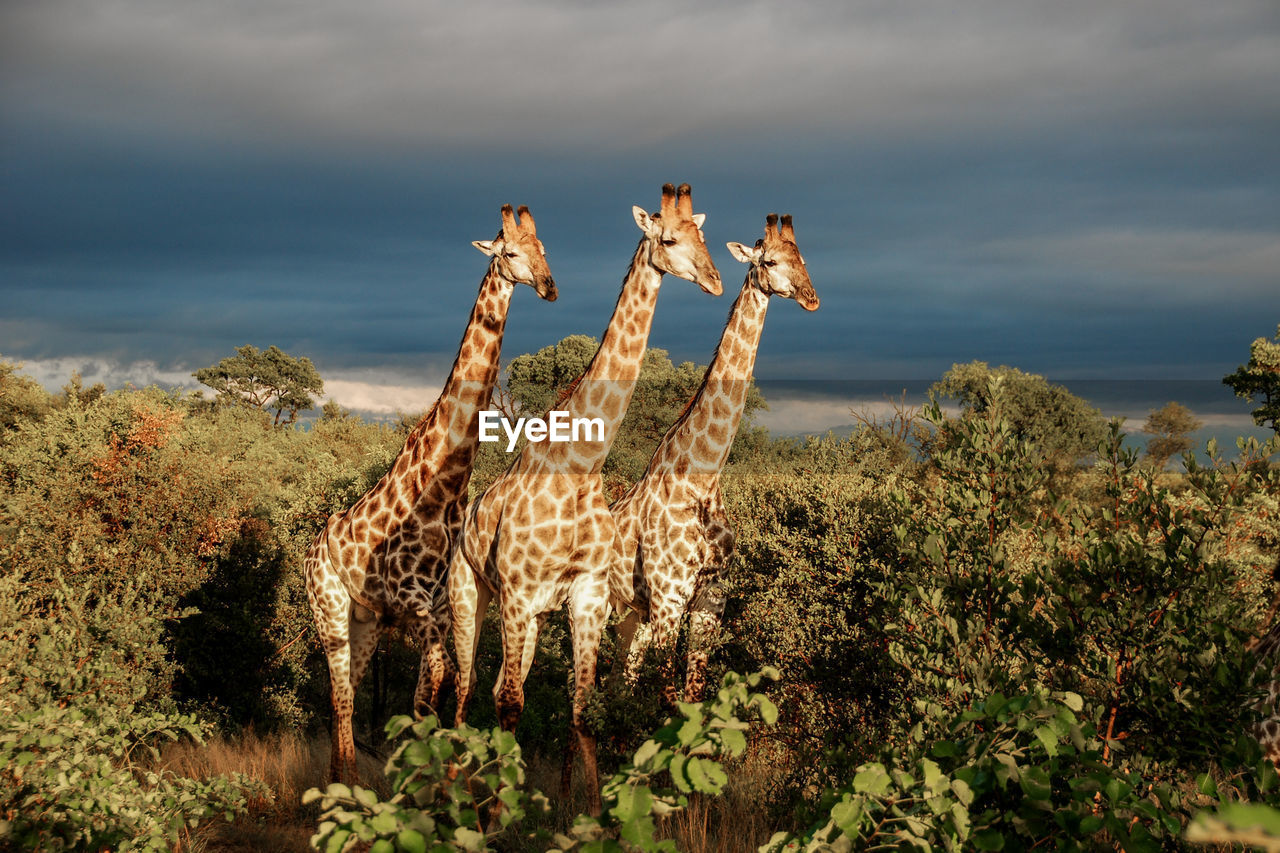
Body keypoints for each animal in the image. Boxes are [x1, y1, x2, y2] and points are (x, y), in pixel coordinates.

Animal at [307, 202, 558, 778]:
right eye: (512, 253)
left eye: (544, 249)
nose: (550, 287)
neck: (446, 485)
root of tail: (313, 546)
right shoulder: (415, 606)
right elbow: (432, 693)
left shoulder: (436, 613)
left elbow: (436, 693)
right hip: (327, 609)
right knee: (340, 693)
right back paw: (345, 781)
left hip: (366, 620)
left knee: (346, 692)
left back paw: (338, 778)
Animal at [445, 183, 716, 809]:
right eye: (669, 239)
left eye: (704, 236)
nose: (715, 280)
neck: (579, 465)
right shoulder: (518, 592)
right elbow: (512, 704)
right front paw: (504, 814)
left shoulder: (586, 595)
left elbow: (584, 708)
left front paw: (589, 812)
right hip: (472, 595)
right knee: (467, 690)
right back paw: (458, 799)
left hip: (532, 615)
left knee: (493, 689)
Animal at [611, 216, 819, 701]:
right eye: (772, 262)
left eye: (804, 259)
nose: (811, 297)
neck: (702, 477)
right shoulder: (669, 599)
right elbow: (668, 695)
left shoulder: (710, 601)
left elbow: (694, 692)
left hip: (633, 613)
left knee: (621, 676)